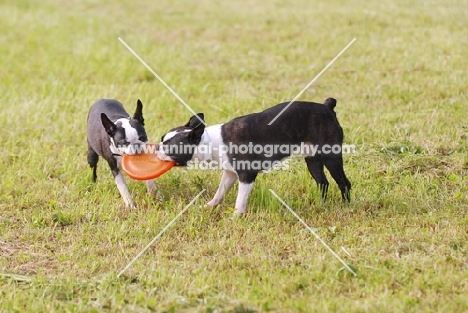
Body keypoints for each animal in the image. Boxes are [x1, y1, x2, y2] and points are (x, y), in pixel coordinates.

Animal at [157, 98, 352, 214]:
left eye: (169, 147)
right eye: (161, 139)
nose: (157, 148)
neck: (211, 142)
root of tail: (327, 107)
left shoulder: (246, 176)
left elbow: (240, 199)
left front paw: (236, 216)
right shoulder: (230, 174)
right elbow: (220, 192)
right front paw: (210, 206)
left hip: (331, 156)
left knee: (344, 182)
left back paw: (346, 206)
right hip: (312, 159)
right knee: (323, 182)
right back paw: (321, 205)